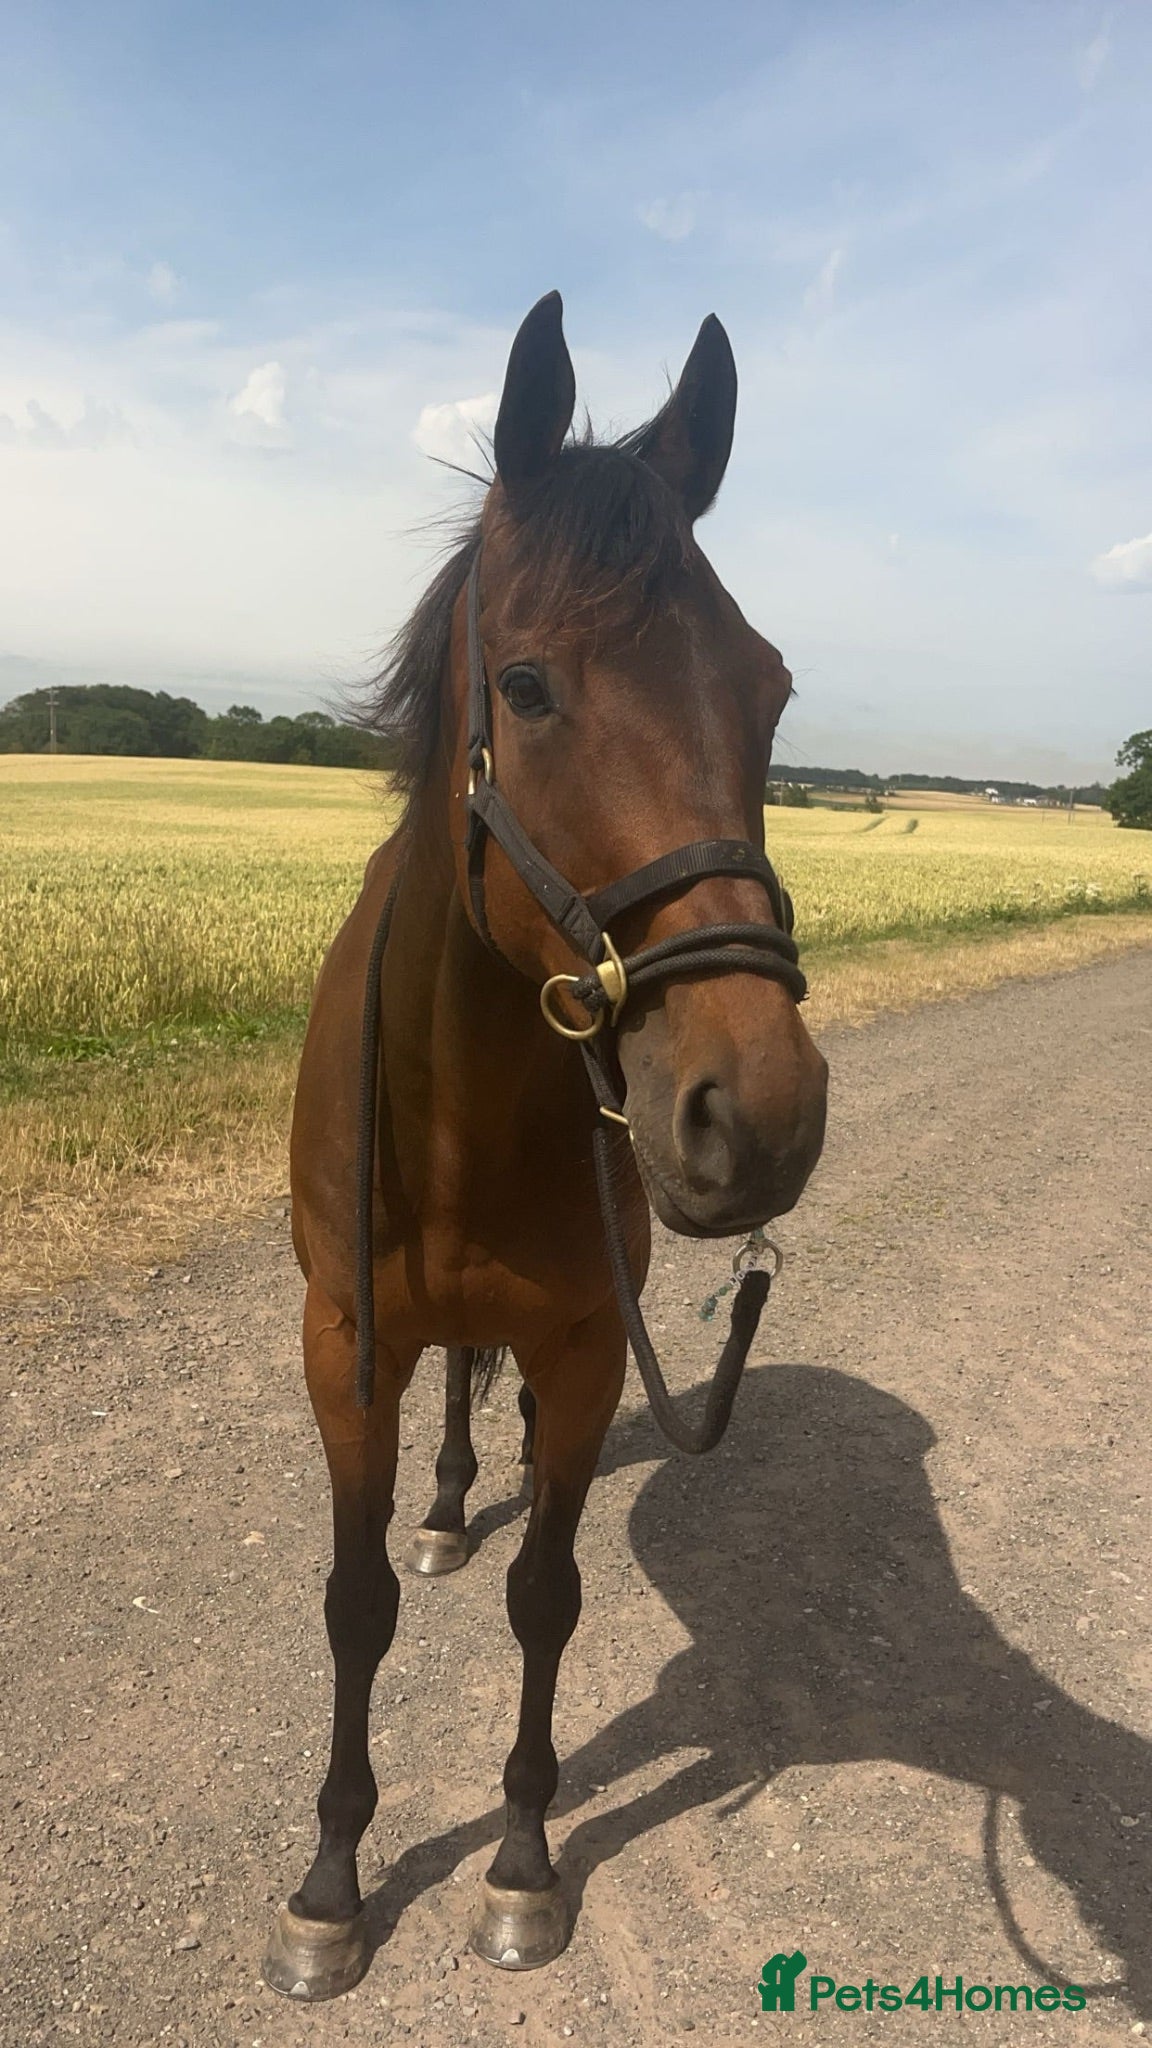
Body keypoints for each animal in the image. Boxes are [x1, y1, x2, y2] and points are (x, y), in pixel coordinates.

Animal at [262, 292, 829, 2001]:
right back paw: (451, 1500)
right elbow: (357, 1603)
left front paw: (519, 1860)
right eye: (524, 687)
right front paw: (331, 1884)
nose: (757, 1113)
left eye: (769, 690)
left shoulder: (585, 1347)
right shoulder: (344, 1348)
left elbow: (550, 1596)